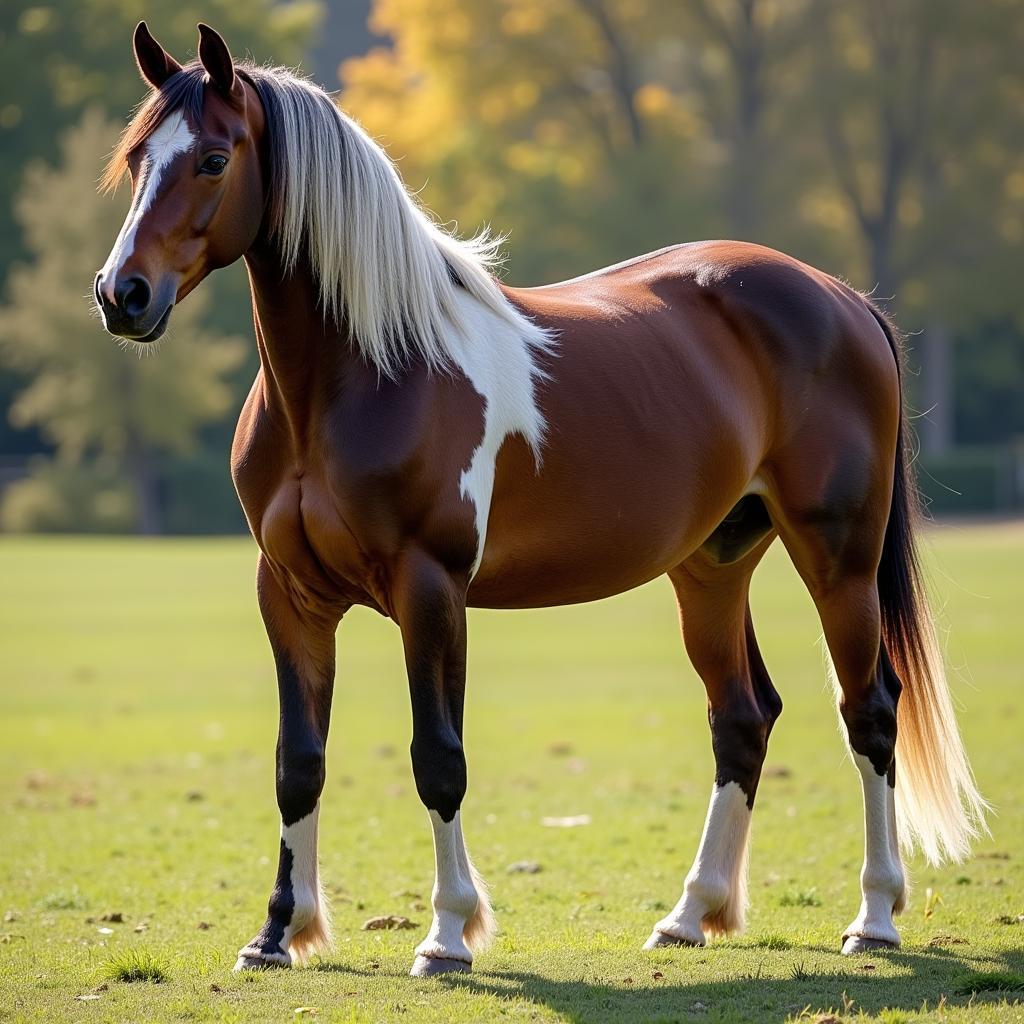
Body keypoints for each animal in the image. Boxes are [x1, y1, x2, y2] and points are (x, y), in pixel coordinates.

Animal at [94, 22, 983, 974]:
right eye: (139, 157)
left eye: (214, 159)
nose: (122, 295)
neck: (370, 371)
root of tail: (842, 298)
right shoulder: (290, 595)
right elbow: (298, 763)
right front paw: (276, 934)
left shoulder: (431, 588)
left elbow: (438, 757)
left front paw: (447, 935)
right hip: (712, 565)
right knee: (742, 719)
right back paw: (690, 913)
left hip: (838, 559)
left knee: (871, 713)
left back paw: (875, 917)